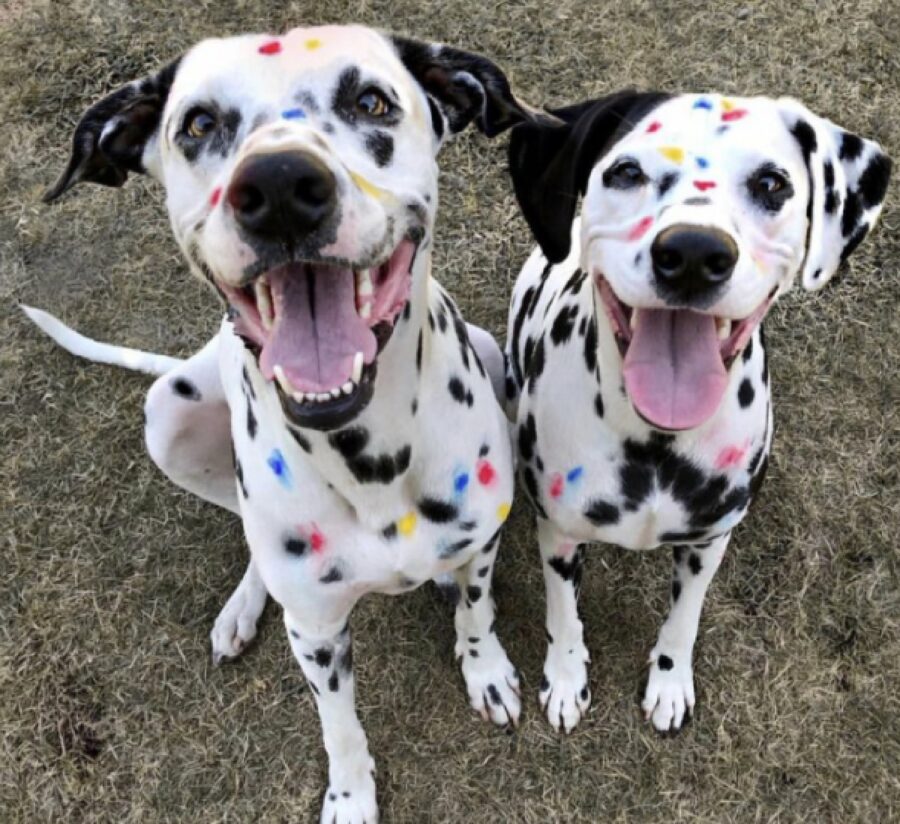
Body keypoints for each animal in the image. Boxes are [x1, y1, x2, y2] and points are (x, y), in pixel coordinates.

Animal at [26, 25, 548, 824]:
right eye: (199, 124)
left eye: (371, 101)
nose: (277, 188)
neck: (369, 454)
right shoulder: (320, 635)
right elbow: (339, 726)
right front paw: (351, 795)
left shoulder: (480, 544)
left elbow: (477, 613)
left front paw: (484, 667)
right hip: (171, 414)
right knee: (245, 527)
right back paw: (244, 605)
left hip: (489, 350)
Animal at [502, 90, 888, 732]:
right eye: (627, 172)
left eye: (771, 183)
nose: (691, 252)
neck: (655, 442)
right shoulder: (558, 531)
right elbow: (564, 614)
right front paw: (565, 677)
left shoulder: (709, 541)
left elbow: (685, 617)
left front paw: (669, 681)